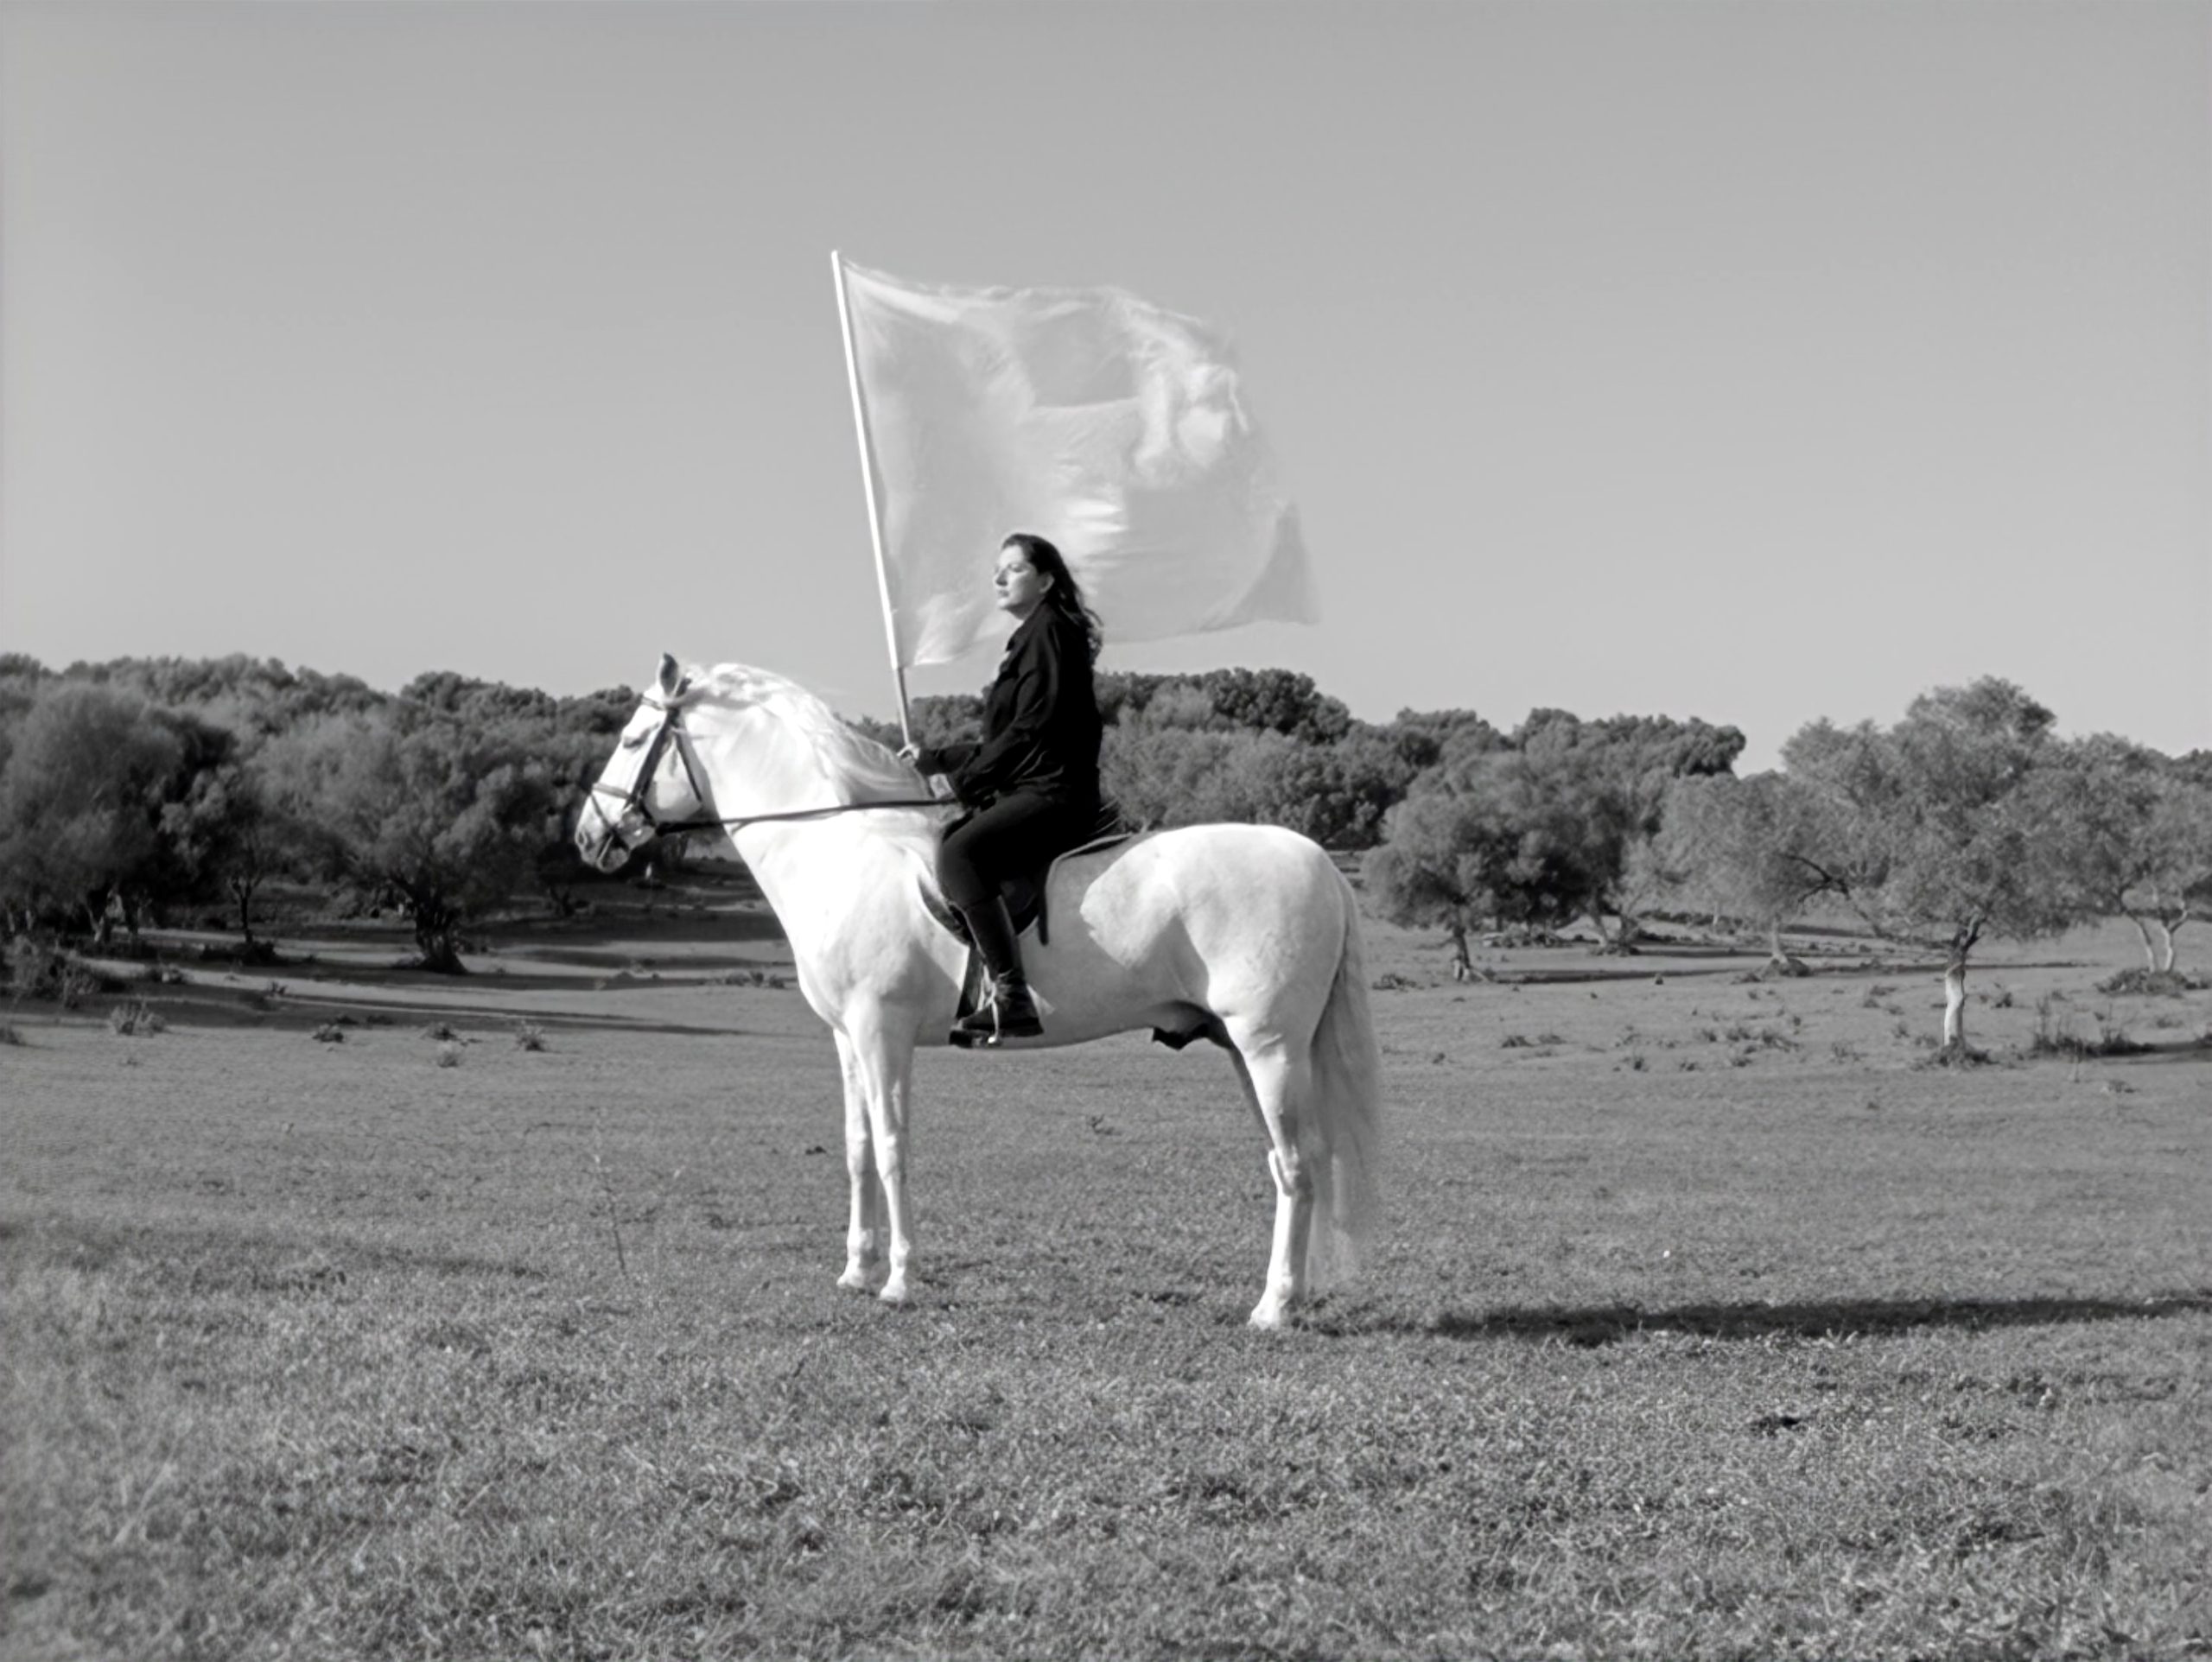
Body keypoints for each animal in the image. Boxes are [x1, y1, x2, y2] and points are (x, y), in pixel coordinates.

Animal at [574, 654, 1382, 1328]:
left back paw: (1274, 1309)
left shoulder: (882, 1032)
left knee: (1301, 1166)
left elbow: (893, 1147)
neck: (839, 852)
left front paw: (899, 1281)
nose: (587, 836)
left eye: (634, 737)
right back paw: (1287, 1295)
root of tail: (1315, 858)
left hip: (1269, 1047)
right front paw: (855, 1271)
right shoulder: (846, 1038)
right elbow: (857, 1147)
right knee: (1287, 1164)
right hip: (1245, 1050)